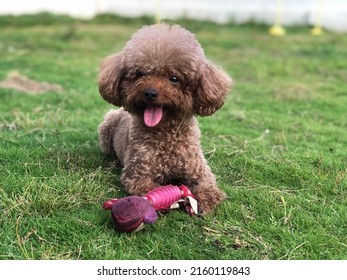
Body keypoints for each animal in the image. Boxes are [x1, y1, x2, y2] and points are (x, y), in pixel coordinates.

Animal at [98, 24, 234, 214]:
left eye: (174, 78)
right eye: (140, 74)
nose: (150, 93)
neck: (165, 135)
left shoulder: (199, 169)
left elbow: (207, 185)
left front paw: (206, 199)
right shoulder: (137, 174)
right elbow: (149, 190)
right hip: (106, 126)